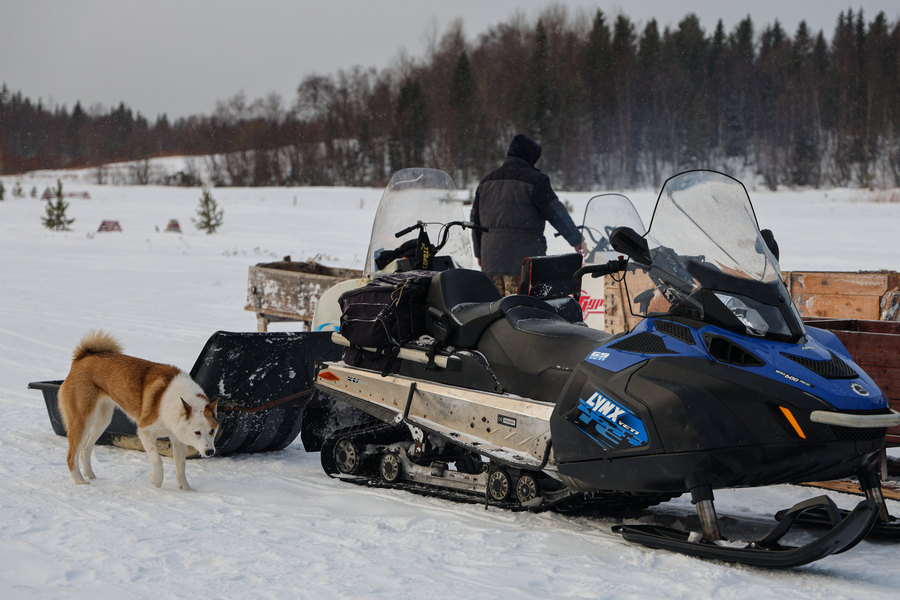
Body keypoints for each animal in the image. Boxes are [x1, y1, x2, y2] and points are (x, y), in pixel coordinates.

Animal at [59, 330, 219, 490]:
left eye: (212, 431)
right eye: (197, 432)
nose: (210, 452)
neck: (177, 400)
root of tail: (83, 357)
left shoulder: (178, 439)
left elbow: (181, 466)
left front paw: (186, 489)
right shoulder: (145, 431)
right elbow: (157, 460)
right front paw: (157, 480)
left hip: (103, 420)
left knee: (85, 450)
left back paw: (90, 475)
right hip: (82, 421)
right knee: (71, 456)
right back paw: (80, 481)